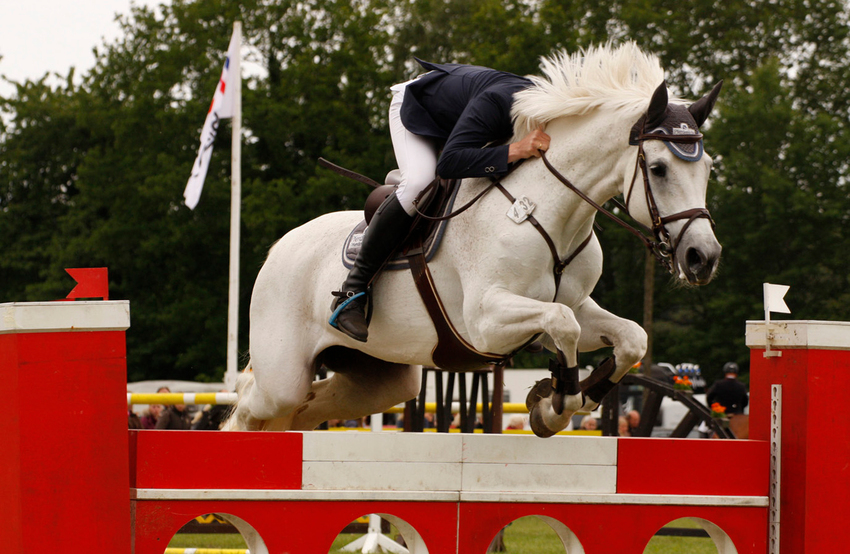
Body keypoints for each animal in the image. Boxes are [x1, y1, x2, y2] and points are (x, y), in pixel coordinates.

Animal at [224, 43, 724, 436]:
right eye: (658, 168)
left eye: (707, 167)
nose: (703, 258)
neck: (547, 210)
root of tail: (278, 249)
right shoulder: (486, 320)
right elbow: (562, 324)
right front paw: (556, 403)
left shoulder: (577, 304)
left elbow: (629, 339)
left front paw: (561, 399)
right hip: (282, 374)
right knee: (253, 408)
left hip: (380, 377)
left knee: (309, 408)